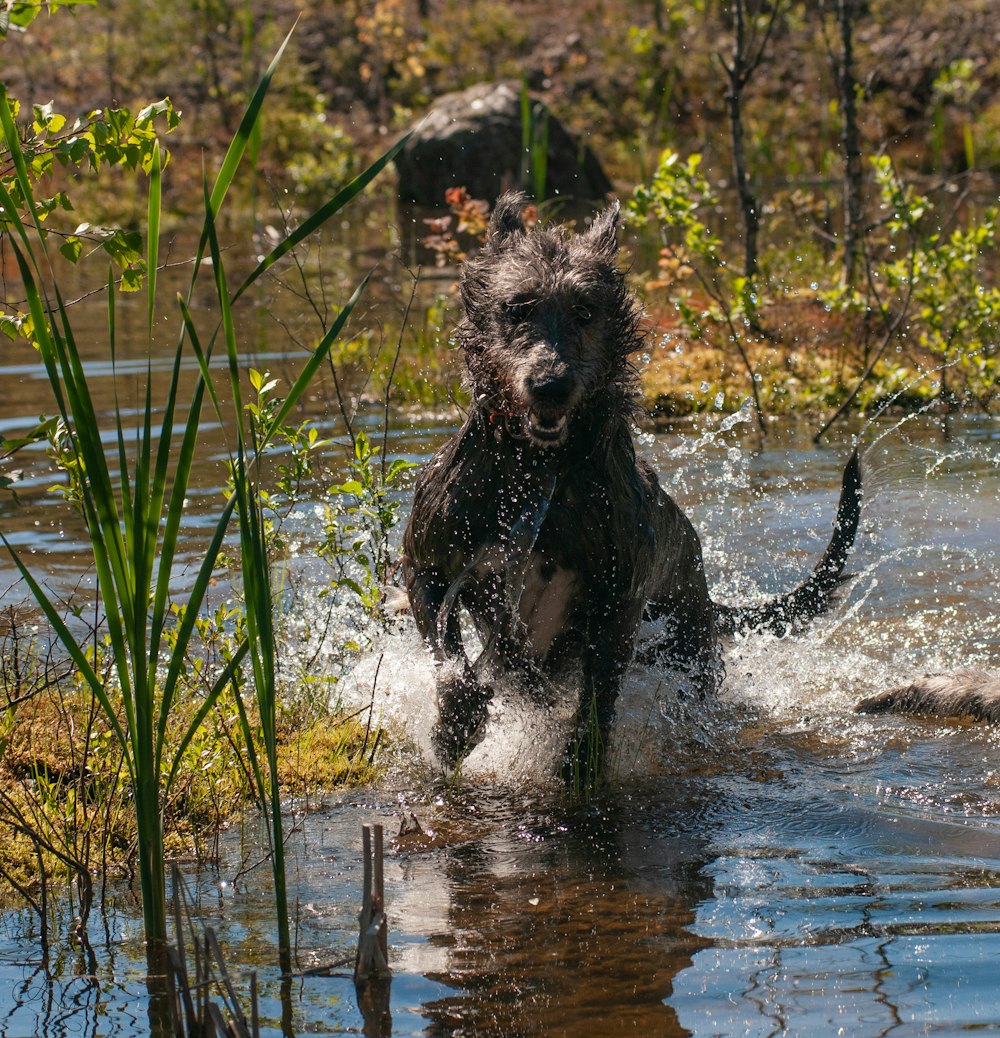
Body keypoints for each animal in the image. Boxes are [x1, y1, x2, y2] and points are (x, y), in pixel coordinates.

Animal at [398, 190, 859, 780]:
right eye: (517, 308)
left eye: (585, 311)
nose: (550, 384)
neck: (541, 466)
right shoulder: (429, 559)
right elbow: (447, 650)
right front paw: (456, 723)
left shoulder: (618, 592)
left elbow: (600, 687)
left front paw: (580, 761)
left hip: (687, 639)